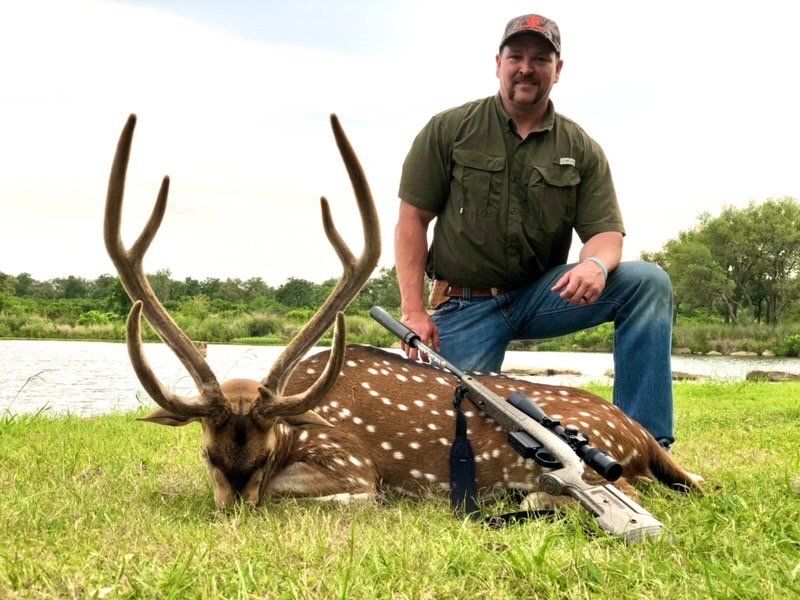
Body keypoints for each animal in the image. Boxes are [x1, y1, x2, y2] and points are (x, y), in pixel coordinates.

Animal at [105, 114, 703, 512]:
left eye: (261, 455)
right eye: (209, 456)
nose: (234, 510)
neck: (298, 426)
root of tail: (639, 435)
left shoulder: (350, 461)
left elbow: (306, 491)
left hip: (572, 463)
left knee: (626, 488)